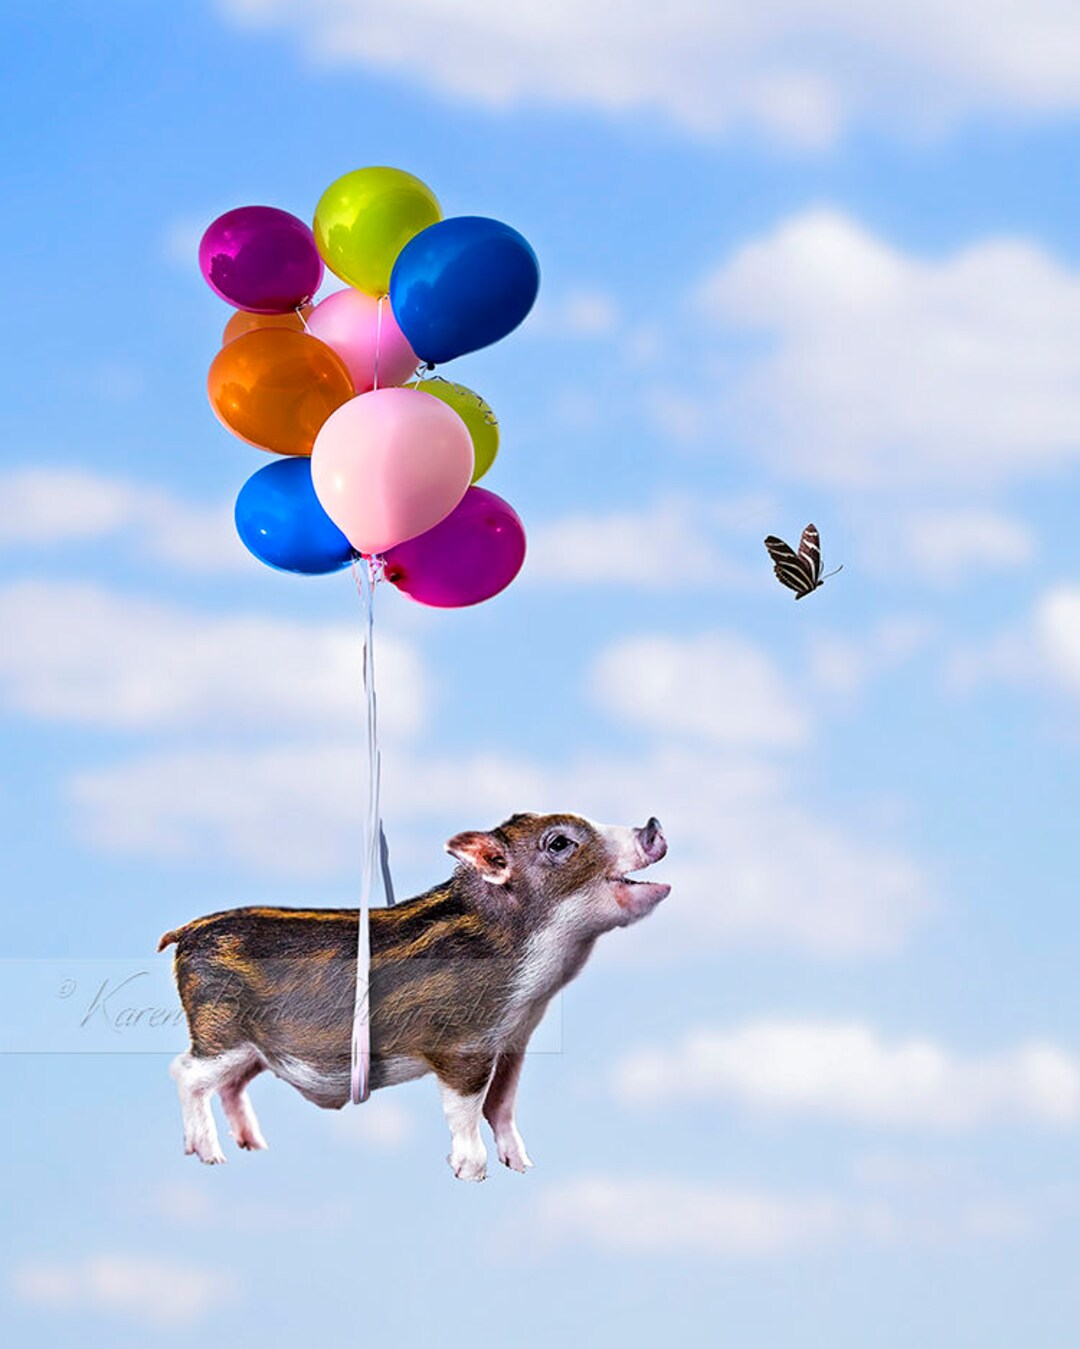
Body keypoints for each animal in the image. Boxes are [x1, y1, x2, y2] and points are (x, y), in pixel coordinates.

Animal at [159, 812, 668, 1180]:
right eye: (559, 843)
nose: (653, 825)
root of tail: (186, 932)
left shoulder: (513, 1040)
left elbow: (502, 1105)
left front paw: (524, 1167)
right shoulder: (462, 1043)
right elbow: (466, 1107)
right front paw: (473, 1175)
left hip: (251, 1049)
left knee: (230, 1086)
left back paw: (252, 1146)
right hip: (220, 1031)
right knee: (185, 1073)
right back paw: (212, 1157)